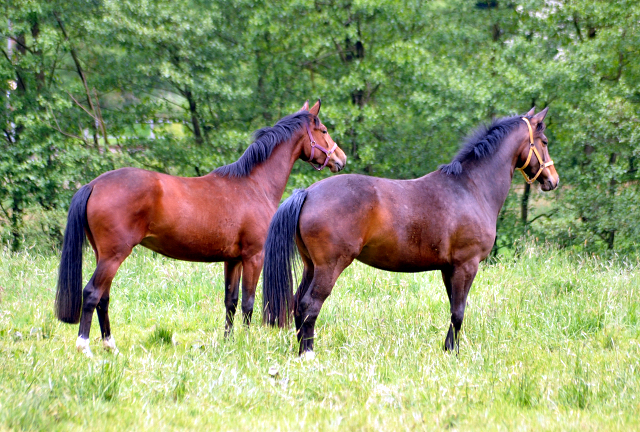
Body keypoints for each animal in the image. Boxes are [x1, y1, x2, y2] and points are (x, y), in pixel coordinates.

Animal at [55, 99, 348, 356]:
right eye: (323, 130)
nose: (341, 159)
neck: (253, 185)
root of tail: (94, 185)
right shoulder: (254, 257)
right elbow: (248, 303)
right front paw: (247, 342)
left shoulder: (233, 260)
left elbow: (230, 302)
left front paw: (229, 342)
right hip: (113, 256)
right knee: (92, 294)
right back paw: (84, 347)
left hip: (103, 256)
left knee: (103, 298)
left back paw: (110, 346)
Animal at [262, 106, 556, 356]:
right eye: (544, 142)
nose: (553, 180)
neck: (470, 187)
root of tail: (308, 193)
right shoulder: (466, 265)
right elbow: (459, 312)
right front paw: (453, 354)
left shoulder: (449, 268)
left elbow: (453, 309)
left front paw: (447, 349)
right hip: (329, 267)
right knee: (309, 305)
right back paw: (308, 354)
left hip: (311, 266)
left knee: (298, 305)